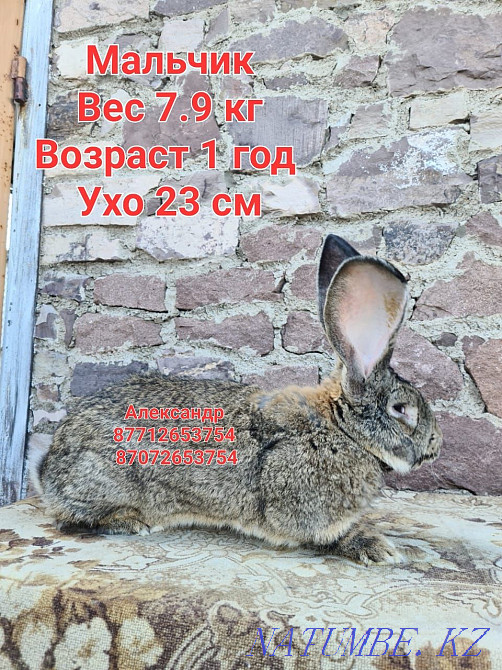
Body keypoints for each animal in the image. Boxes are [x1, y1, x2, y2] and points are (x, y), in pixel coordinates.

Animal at [31, 234, 442, 565]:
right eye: (402, 410)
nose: (437, 444)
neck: (342, 431)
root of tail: (48, 467)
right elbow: (327, 535)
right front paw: (376, 547)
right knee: (69, 518)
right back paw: (132, 522)